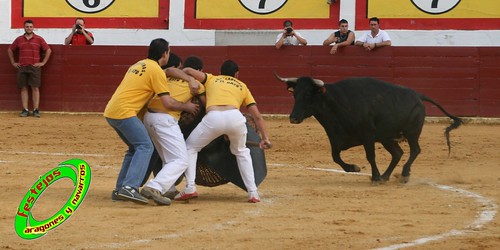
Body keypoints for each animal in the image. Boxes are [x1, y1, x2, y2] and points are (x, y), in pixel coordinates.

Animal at [276, 74, 462, 184]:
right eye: (295, 94)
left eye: (308, 94)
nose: (293, 117)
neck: (338, 103)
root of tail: (418, 95)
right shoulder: (336, 138)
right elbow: (335, 156)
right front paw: (354, 168)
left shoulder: (368, 135)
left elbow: (370, 156)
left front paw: (375, 176)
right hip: (387, 138)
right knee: (398, 153)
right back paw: (386, 176)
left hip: (412, 133)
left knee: (415, 150)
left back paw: (404, 174)